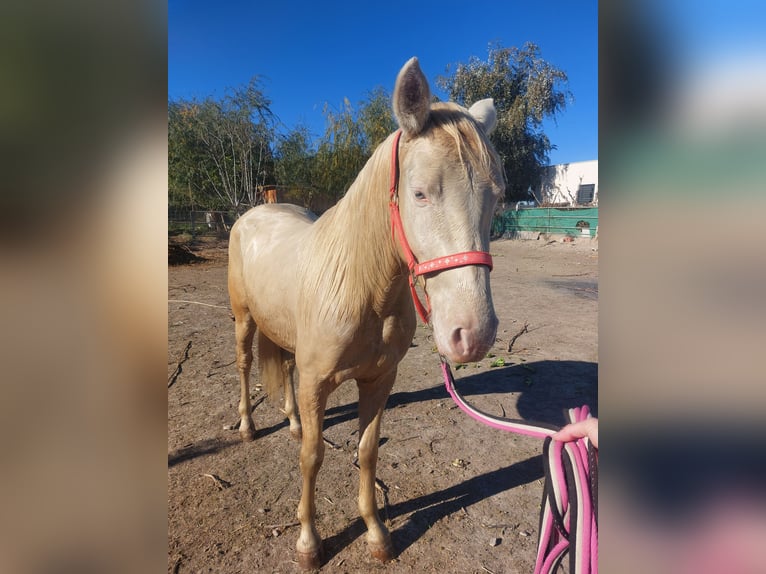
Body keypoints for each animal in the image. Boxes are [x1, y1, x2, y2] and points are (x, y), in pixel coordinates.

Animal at [226, 58, 504, 572]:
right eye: (420, 193)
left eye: (497, 194)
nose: (472, 335)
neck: (360, 287)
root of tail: (253, 214)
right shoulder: (318, 384)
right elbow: (312, 457)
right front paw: (308, 542)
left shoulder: (378, 380)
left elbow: (367, 452)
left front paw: (377, 534)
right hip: (243, 320)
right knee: (244, 364)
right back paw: (249, 427)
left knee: (286, 369)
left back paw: (291, 421)